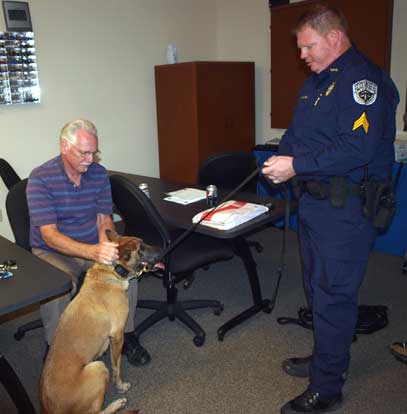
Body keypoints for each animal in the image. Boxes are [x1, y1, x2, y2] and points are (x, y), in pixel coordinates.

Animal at [40, 231, 162, 412]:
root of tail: (49, 409)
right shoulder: (117, 336)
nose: (162, 248)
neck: (111, 273)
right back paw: (117, 404)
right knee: (98, 411)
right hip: (97, 368)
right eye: (142, 248)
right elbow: (116, 367)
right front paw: (120, 386)